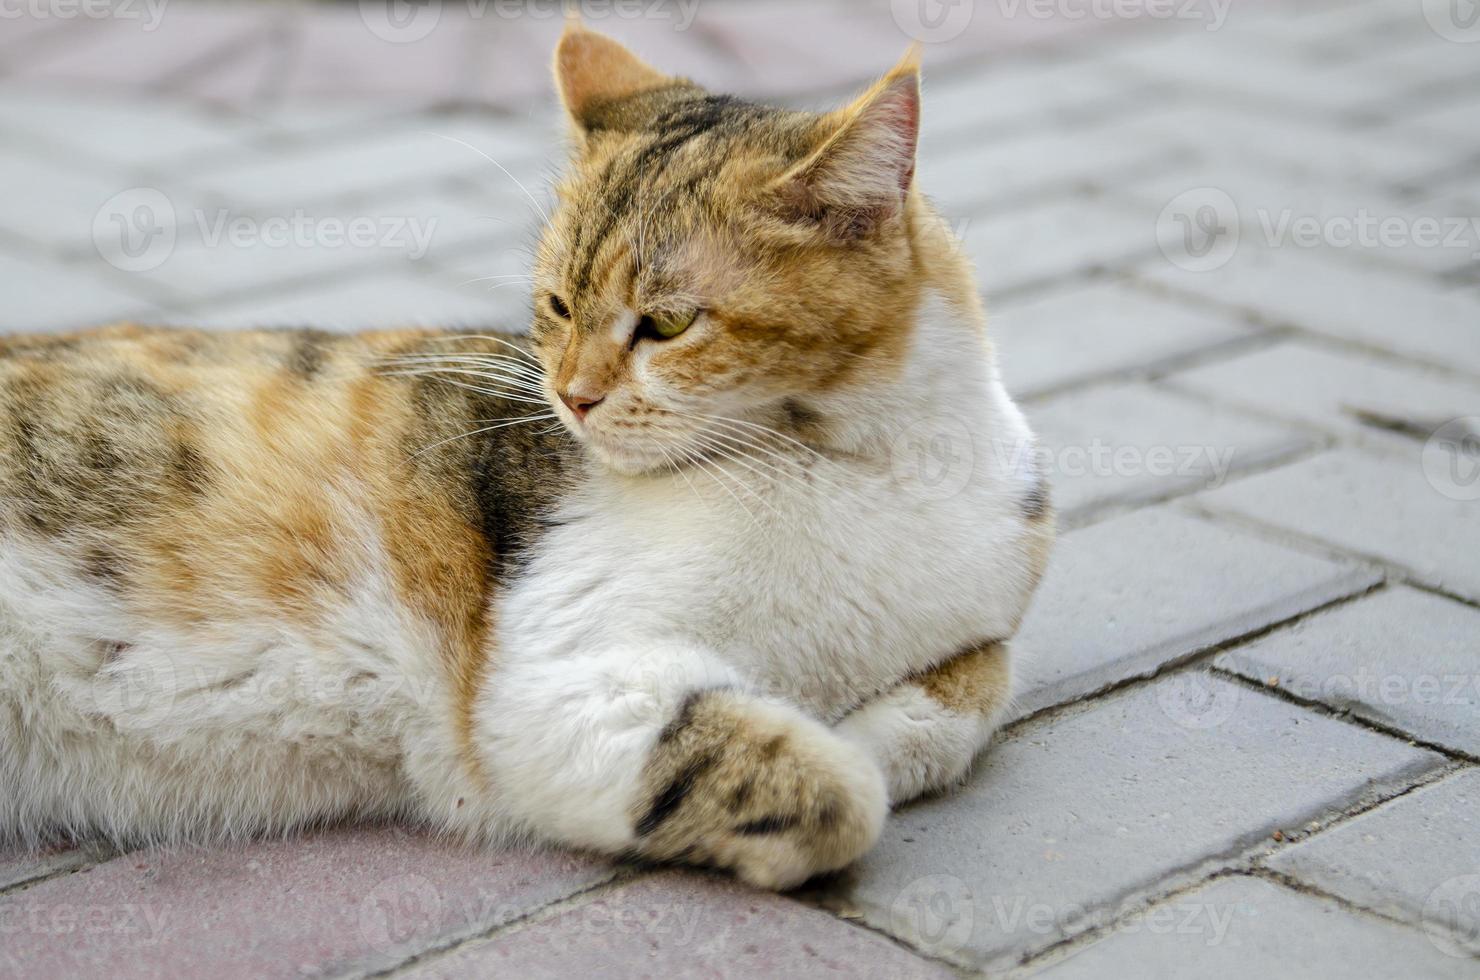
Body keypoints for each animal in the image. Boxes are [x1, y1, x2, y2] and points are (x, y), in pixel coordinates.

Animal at [0, 26, 1053, 894]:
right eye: (556, 305)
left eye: (669, 322)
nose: (573, 396)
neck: (871, 465)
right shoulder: (551, 682)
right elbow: (836, 792)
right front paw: (840, 760)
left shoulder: (991, 589)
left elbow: (985, 677)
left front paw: (880, 722)